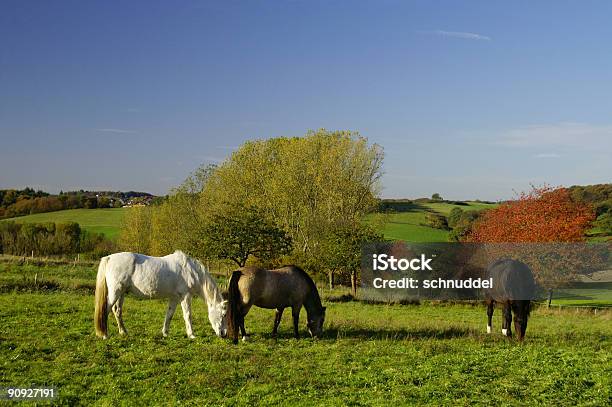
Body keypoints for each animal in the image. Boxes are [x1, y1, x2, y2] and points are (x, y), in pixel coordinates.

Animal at [94, 250, 228, 340]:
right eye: (223, 314)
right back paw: (105, 335)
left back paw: (123, 332)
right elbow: (188, 315)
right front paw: (191, 335)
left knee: (117, 311)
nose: (224, 334)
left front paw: (165, 333)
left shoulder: (174, 298)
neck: (190, 270)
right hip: (115, 292)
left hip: (121, 293)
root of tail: (109, 258)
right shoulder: (185, 296)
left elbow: (169, 315)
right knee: (106, 310)